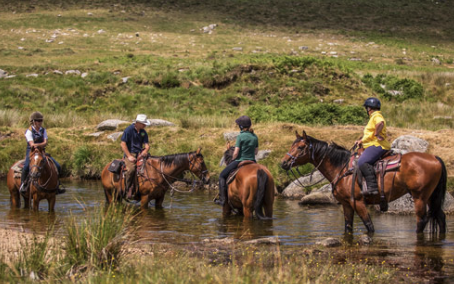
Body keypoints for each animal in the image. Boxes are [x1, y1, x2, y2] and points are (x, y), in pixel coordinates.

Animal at [280, 130, 446, 235]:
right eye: (292, 145)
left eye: (300, 147)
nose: (284, 163)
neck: (342, 167)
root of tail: (435, 158)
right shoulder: (346, 204)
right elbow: (348, 228)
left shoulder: (358, 202)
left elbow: (369, 226)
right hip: (431, 197)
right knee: (441, 217)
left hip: (419, 197)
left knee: (421, 221)